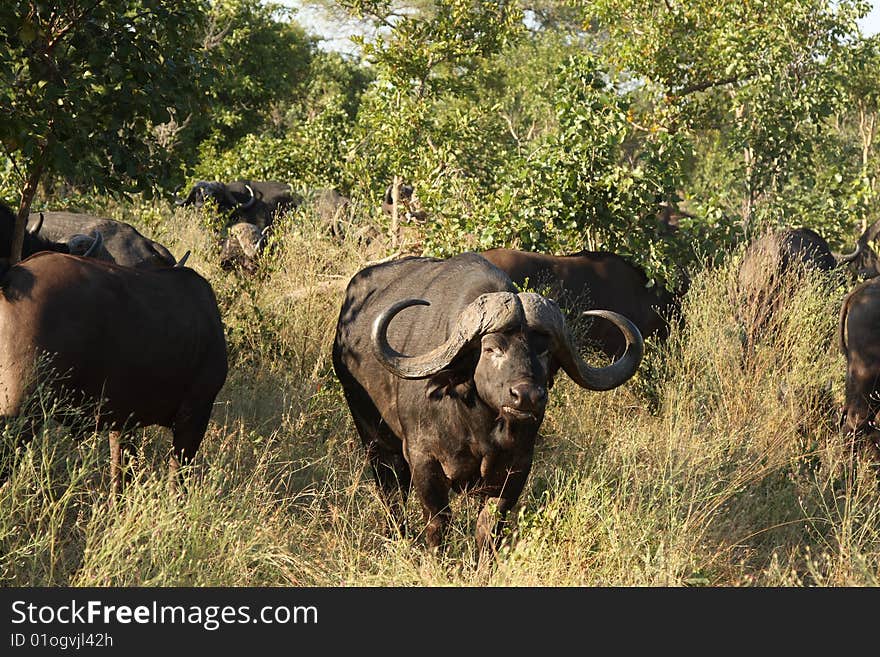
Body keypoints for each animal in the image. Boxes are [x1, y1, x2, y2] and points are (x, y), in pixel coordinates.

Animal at [0, 249, 227, 490]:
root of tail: (10, 278)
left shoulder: (124, 424)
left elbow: (120, 477)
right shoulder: (194, 417)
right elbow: (176, 482)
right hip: (23, 414)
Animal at [334, 251, 644, 552]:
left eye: (543, 351)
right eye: (492, 349)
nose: (527, 396)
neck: (475, 424)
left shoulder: (515, 468)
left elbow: (490, 527)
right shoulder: (423, 459)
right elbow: (438, 522)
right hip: (375, 441)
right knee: (392, 494)